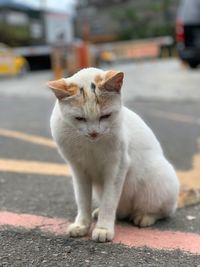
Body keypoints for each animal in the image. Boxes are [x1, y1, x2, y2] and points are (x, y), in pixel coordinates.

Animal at [48, 68, 180, 244]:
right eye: (80, 119)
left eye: (105, 116)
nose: (94, 133)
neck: (91, 144)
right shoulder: (78, 169)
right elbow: (82, 200)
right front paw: (82, 225)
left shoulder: (117, 166)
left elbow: (109, 200)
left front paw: (103, 228)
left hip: (158, 179)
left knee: (164, 211)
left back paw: (144, 217)